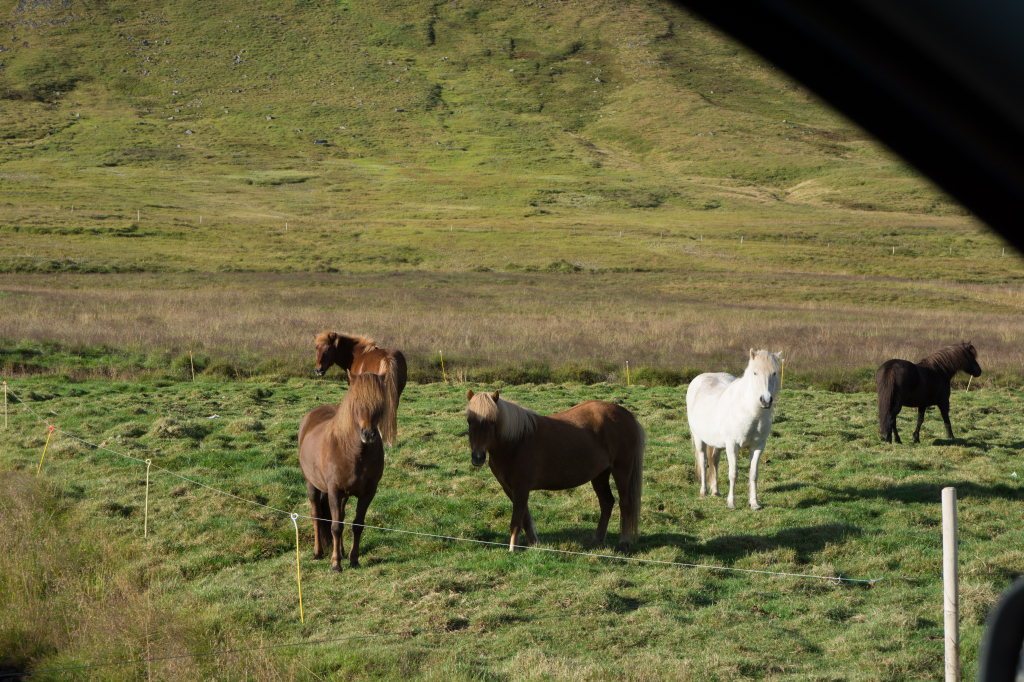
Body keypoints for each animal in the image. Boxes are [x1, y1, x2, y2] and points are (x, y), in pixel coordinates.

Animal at [298, 372, 387, 572]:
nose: (368, 434)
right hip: (311, 484)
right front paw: (335, 564)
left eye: (381, 400)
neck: (353, 452)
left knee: (340, 516)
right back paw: (318, 553)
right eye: (356, 399)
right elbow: (336, 527)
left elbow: (356, 525)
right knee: (316, 515)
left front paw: (353, 559)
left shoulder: (368, 492)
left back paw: (342, 551)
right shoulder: (334, 491)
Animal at [465, 390, 646, 553]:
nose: (478, 457)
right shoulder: (510, 489)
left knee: (624, 505)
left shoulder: (521, 488)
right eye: (469, 421)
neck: (516, 441)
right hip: (600, 475)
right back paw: (596, 541)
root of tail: (628, 416)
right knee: (607, 503)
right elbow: (525, 518)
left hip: (621, 470)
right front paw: (534, 544)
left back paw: (623, 545)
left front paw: (512, 549)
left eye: (492, 422)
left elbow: (516, 520)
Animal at [686, 349, 781, 510]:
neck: (750, 412)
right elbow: (733, 474)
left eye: (774, 373)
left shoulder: (758, 446)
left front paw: (754, 503)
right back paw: (704, 492)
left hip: (717, 443)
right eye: (755, 373)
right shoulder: (732, 445)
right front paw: (731, 503)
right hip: (699, 438)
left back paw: (715, 491)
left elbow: (753, 474)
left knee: (714, 462)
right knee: (703, 462)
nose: (765, 401)